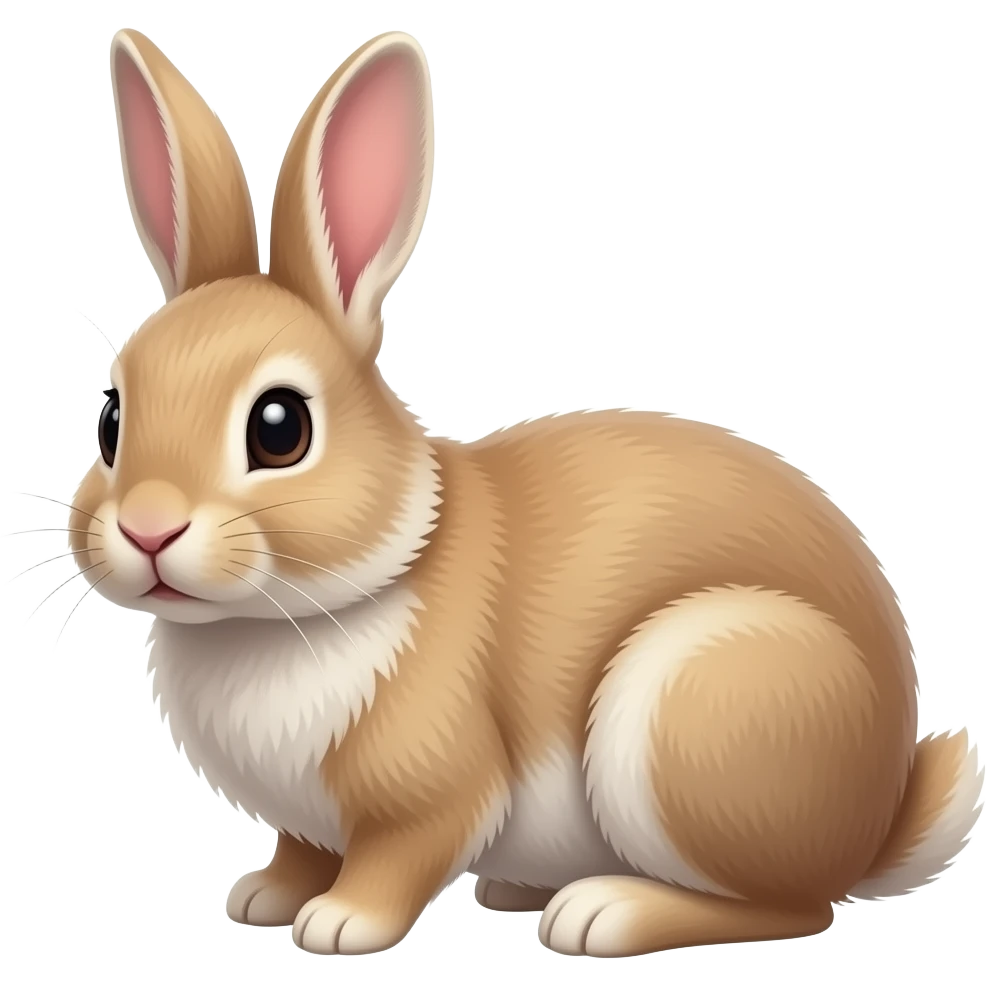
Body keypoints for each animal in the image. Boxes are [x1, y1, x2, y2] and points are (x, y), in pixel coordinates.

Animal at [64, 28, 984, 958]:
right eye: (110, 418)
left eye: (279, 428)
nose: (148, 529)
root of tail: (880, 814)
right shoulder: (304, 821)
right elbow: (299, 848)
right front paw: (262, 897)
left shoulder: (434, 788)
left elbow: (400, 854)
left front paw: (339, 923)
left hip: (692, 705)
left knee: (793, 906)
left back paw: (601, 912)